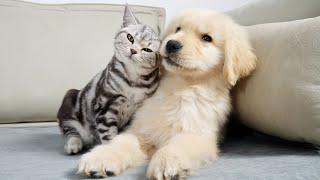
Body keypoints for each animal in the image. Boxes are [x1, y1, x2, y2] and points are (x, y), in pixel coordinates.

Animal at [57, 5, 160, 155]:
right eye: (130, 38)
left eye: (147, 49)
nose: (133, 50)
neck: (132, 83)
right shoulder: (105, 107)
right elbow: (108, 135)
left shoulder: (138, 112)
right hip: (69, 103)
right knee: (70, 130)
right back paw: (73, 144)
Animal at [76, 9, 256, 179]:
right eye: (178, 29)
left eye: (207, 38)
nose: (171, 44)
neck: (180, 86)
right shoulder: (142, 129)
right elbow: (121, 142)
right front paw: (100, 158)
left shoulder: (198, 133)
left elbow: (178, 144)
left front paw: (167, 163)